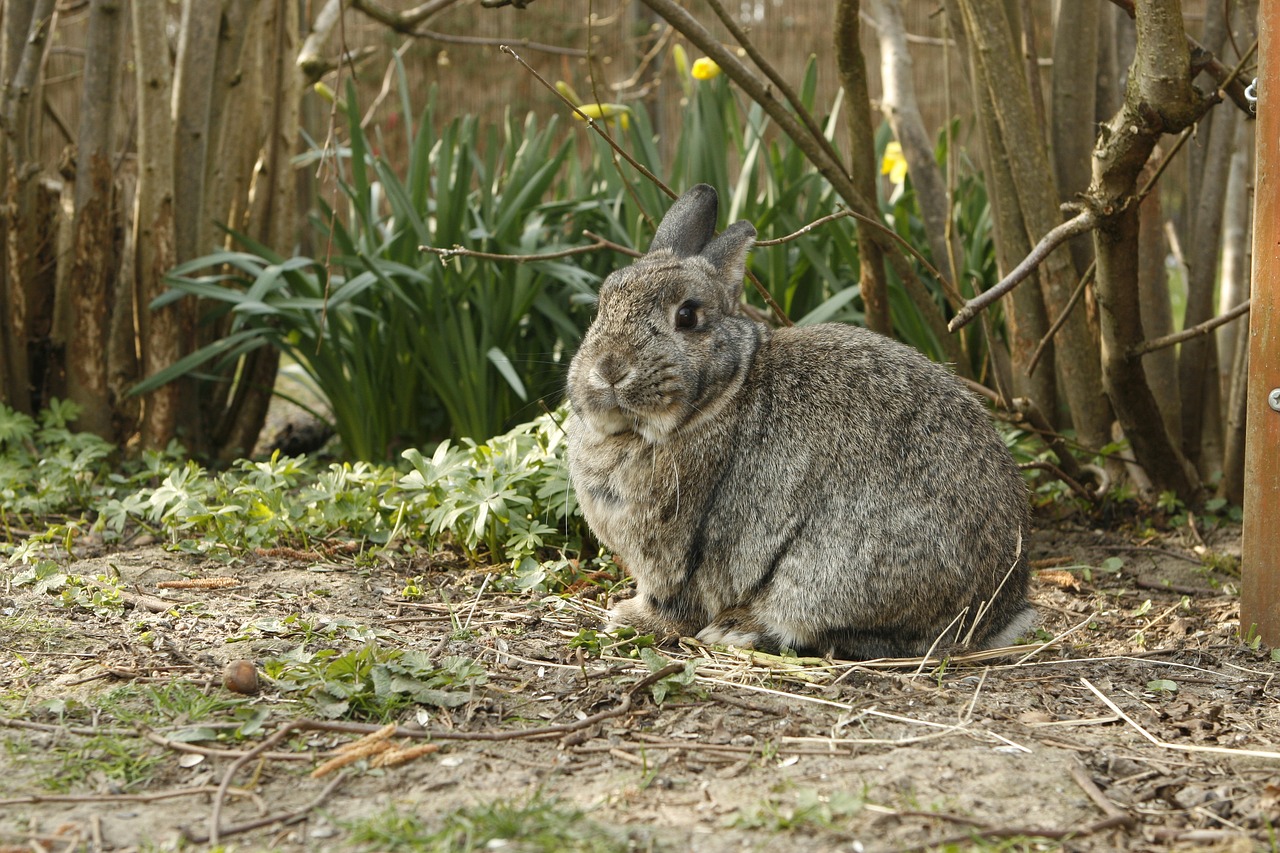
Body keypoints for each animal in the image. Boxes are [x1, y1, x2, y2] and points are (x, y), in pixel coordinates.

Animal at [565, 184, 1034, 655]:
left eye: (687, 316)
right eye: (603, 304)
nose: (609, 369)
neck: (723, 392)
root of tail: (997, 613)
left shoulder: (679, 552)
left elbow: (676, 601)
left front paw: (629, 618)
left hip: (830, 571)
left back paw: (737, 627)